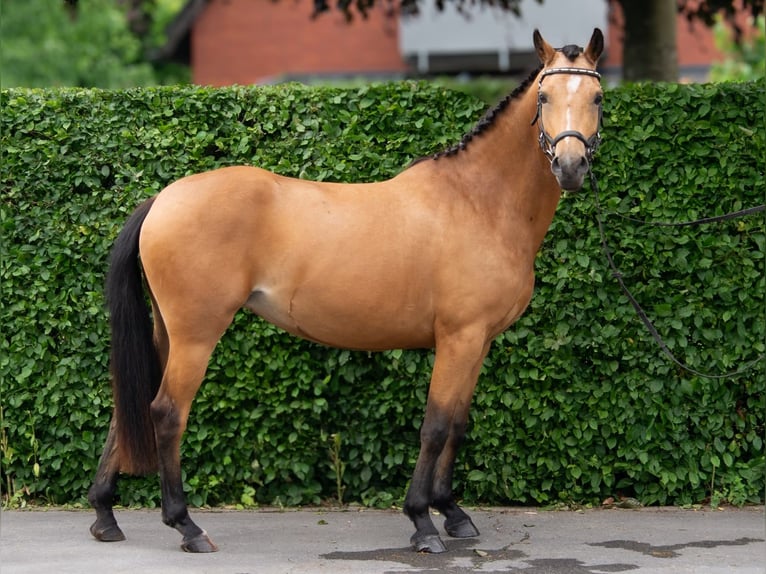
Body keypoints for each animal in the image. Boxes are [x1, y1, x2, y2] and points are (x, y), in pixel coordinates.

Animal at [88, 28, 604, 554]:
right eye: (544, 96)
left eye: (598, 97)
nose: (570, 167)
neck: (478, 200)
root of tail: (162, 198)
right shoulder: (459, 339)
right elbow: (436, 426)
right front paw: (422, 521)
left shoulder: (478, 343)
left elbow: (457, 425)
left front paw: (453, 513)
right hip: (195, 335)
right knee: (167, 413)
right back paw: (186, 525)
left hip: (166, 332)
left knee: (127, 410)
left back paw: (106, 515)